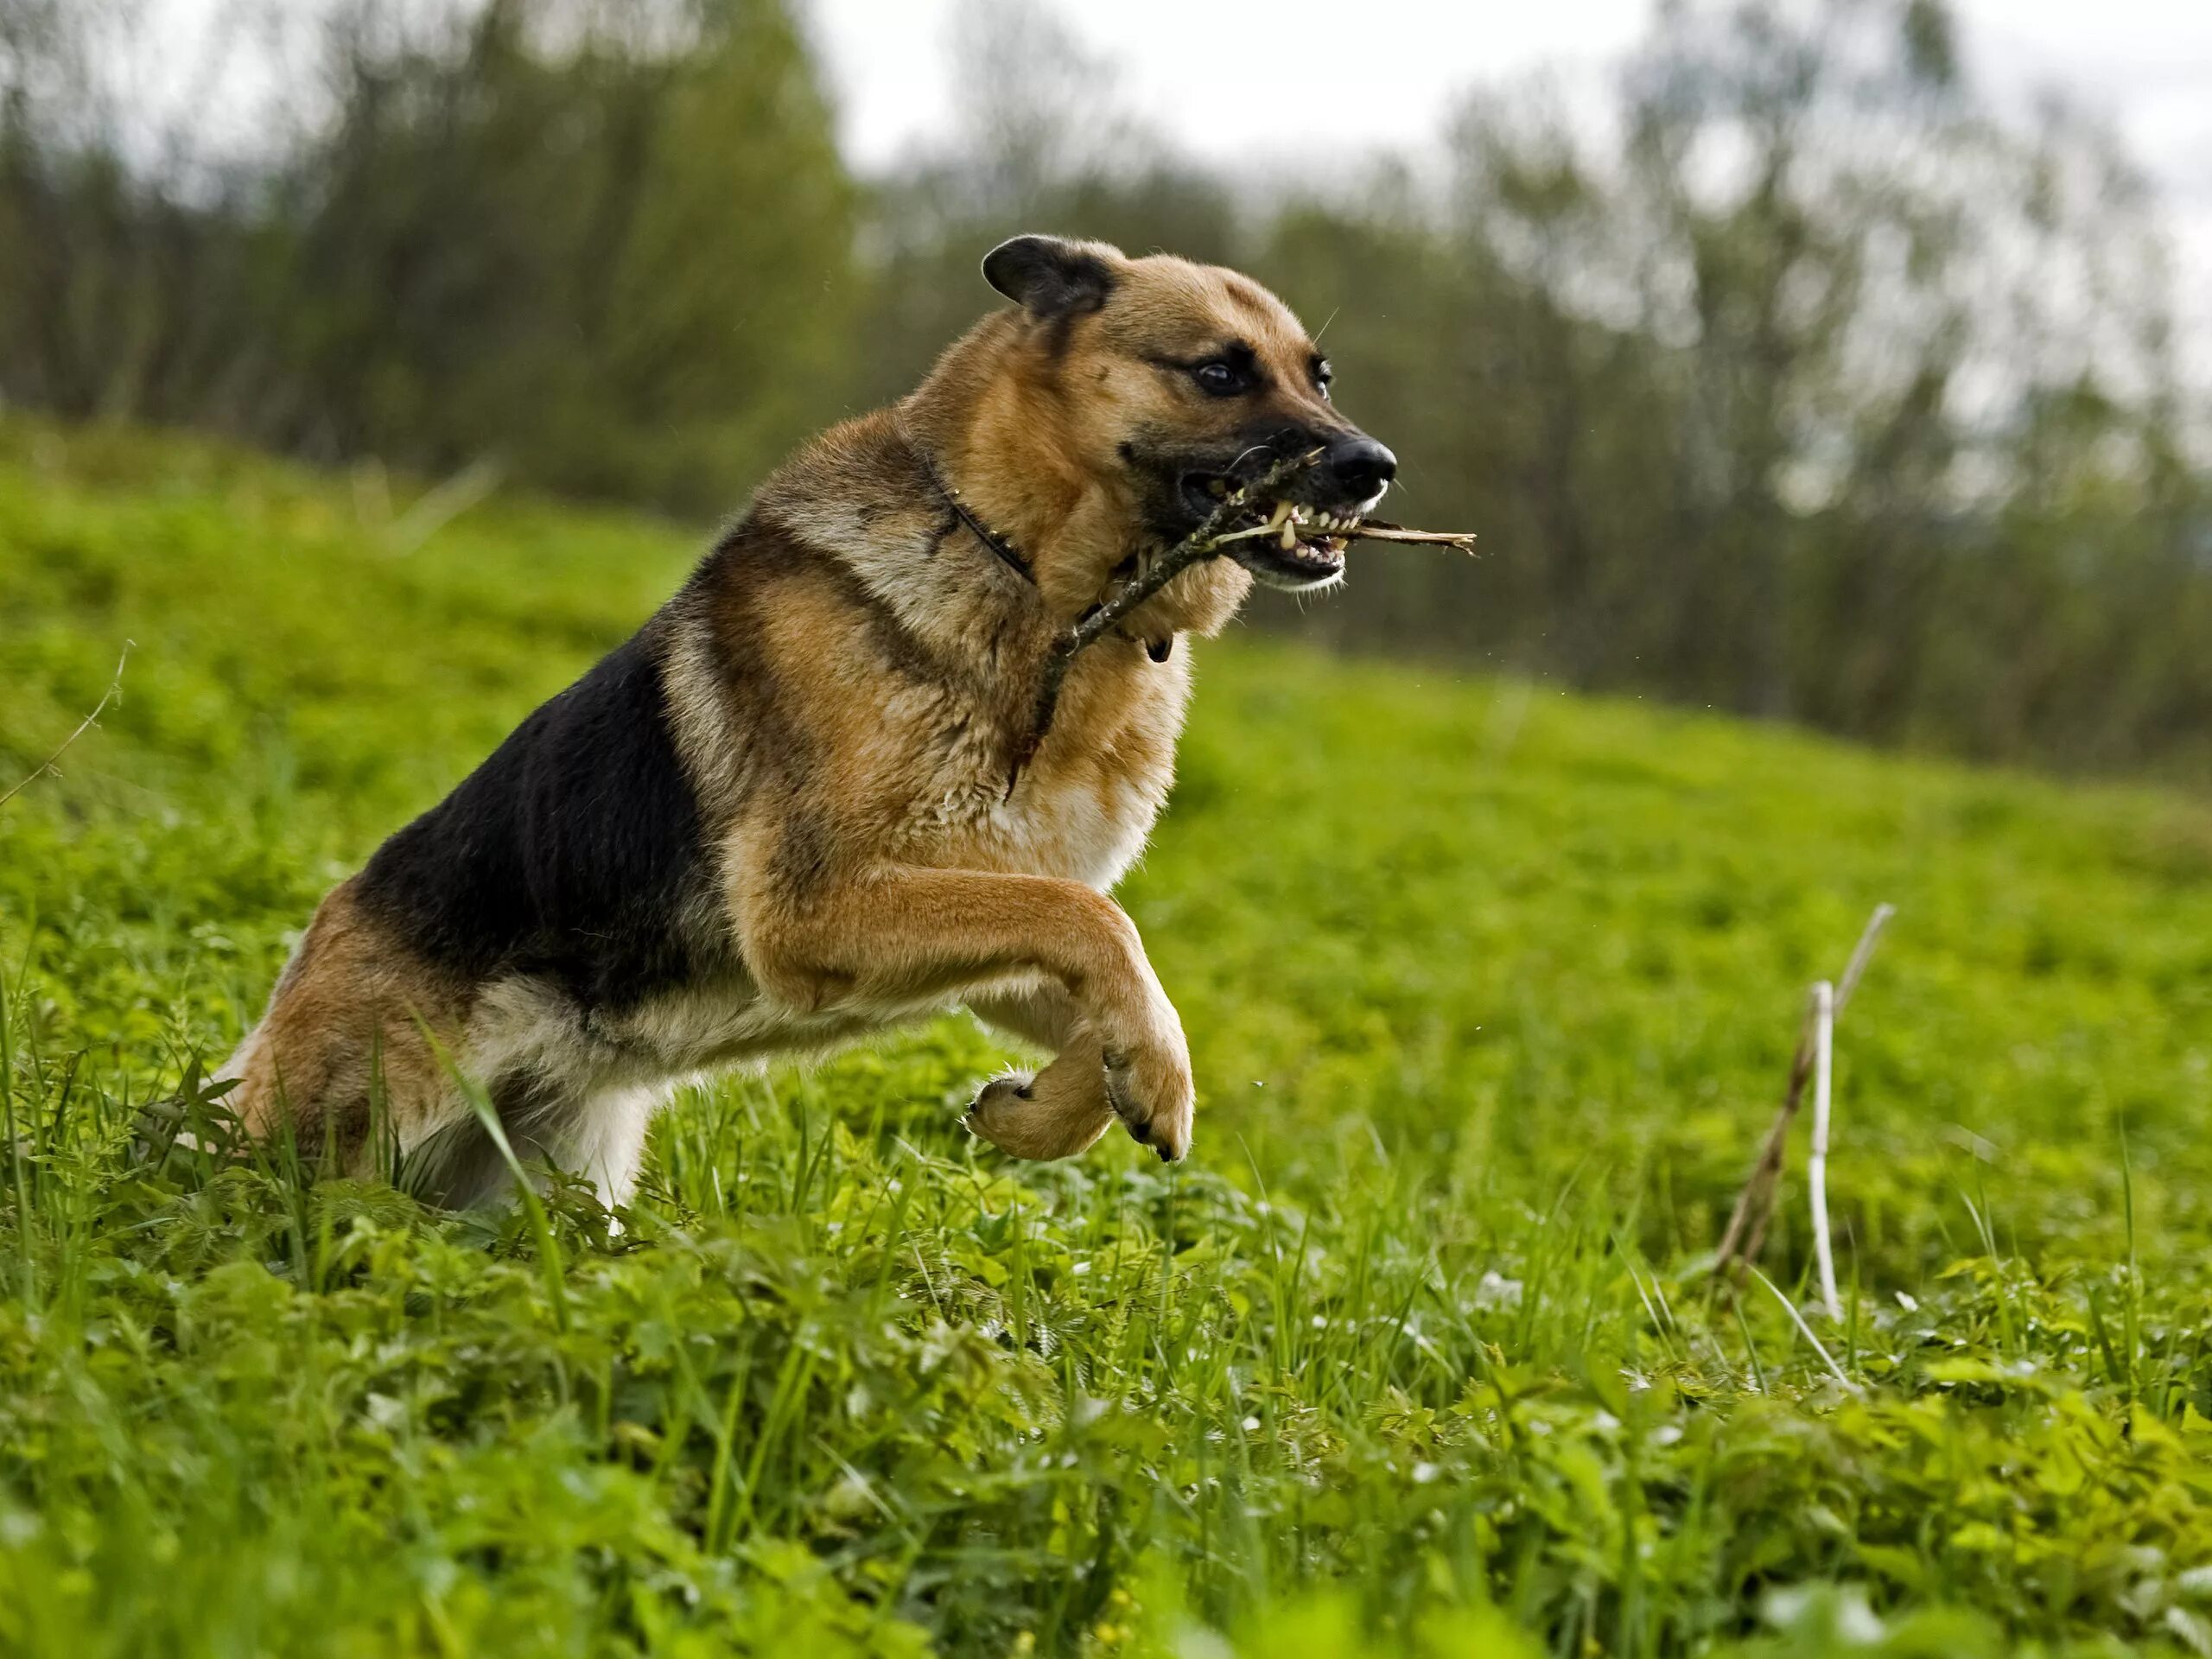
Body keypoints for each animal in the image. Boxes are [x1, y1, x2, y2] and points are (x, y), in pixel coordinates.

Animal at [224, 236, 1397, 1211]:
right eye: (1219, 371)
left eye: (1319, 375)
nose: (1374, 467)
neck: (1039, 596)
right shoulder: (820, 908)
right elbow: (1099, 926)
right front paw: (1143, 1075)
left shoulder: (982, 912)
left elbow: (1105, 971)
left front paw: (1071, 1100)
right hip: (340, 1133)